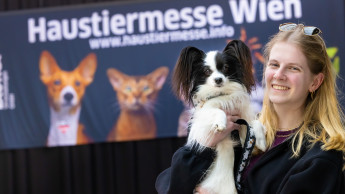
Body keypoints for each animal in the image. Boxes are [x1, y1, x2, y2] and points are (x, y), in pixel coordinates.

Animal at [172, 40, 266, 193]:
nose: (218, 79)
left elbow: (254, 123)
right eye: (207, 71)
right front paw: (221, 124)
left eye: (226, 68)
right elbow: (217, 111)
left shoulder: (241, 123)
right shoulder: (203, 117)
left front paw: (261, 141)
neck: (221, 95)